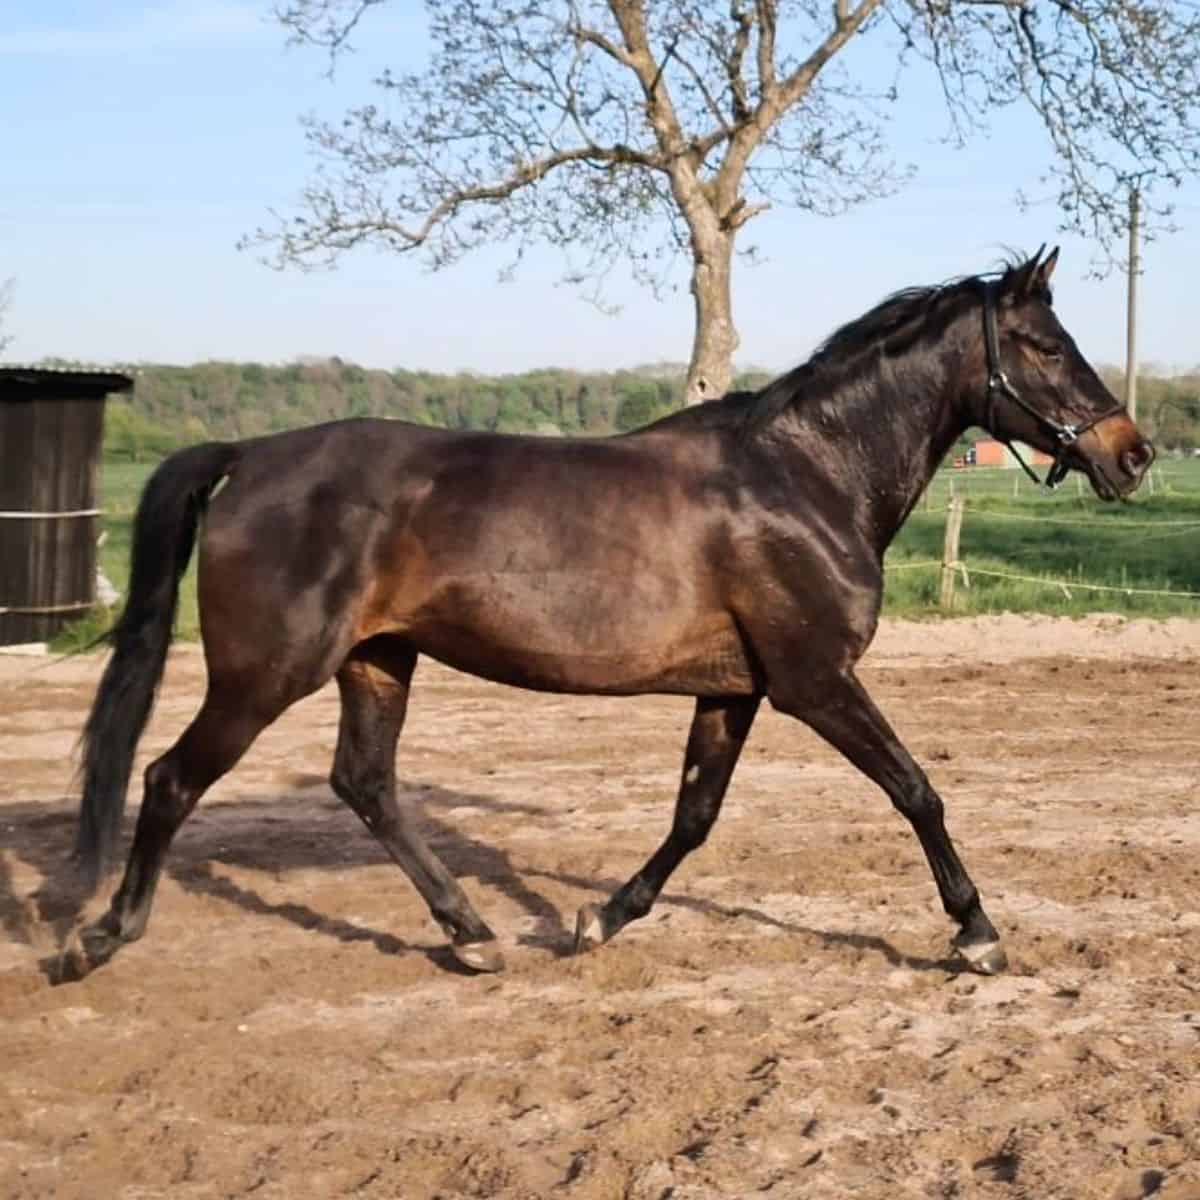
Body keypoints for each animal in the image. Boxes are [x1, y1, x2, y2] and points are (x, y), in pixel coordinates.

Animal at [72, 248, 1152, 979]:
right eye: (1044, 345)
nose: (1132, 454)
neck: (804, 476)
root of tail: (251, 455)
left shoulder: (737, 691)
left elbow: (694, 817)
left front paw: (599, 918)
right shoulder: (814, 683)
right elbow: (917, 791)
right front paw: (977, 933)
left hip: (377, 660)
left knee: (364, 784)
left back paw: (472, 936)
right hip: (267, 672)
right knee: (170, 779)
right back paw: (100, 936)